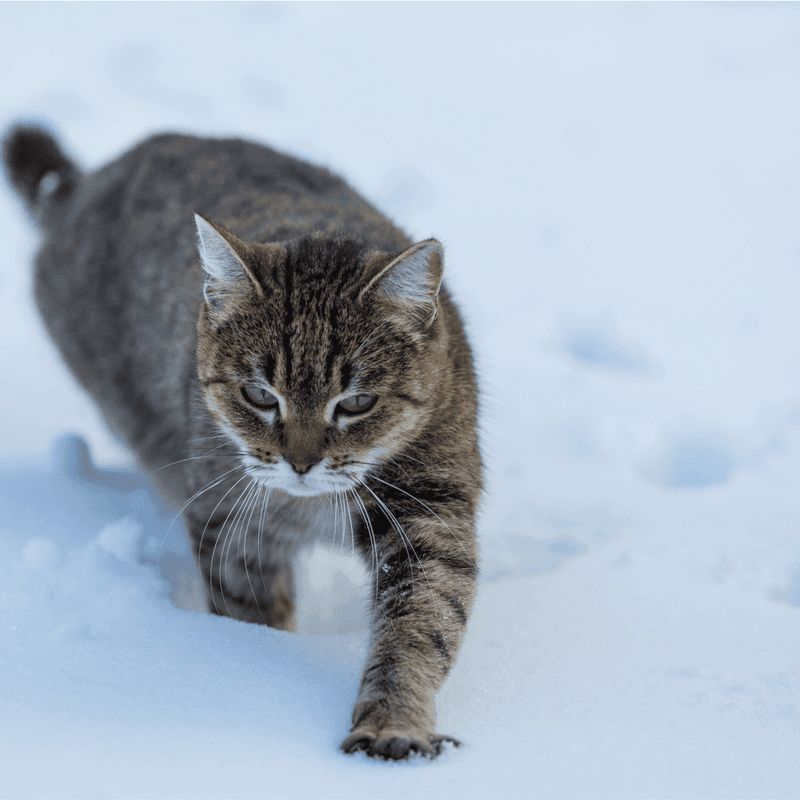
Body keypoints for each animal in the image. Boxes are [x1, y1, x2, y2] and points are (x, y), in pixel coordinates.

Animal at [3, 123, 482, 756]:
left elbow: (423, 625)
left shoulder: (431, 512)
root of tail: (84, 184)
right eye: (259, 395)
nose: (301, 462)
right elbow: (253, 617)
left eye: (356, 402)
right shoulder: (233, 524)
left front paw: (393, 720)